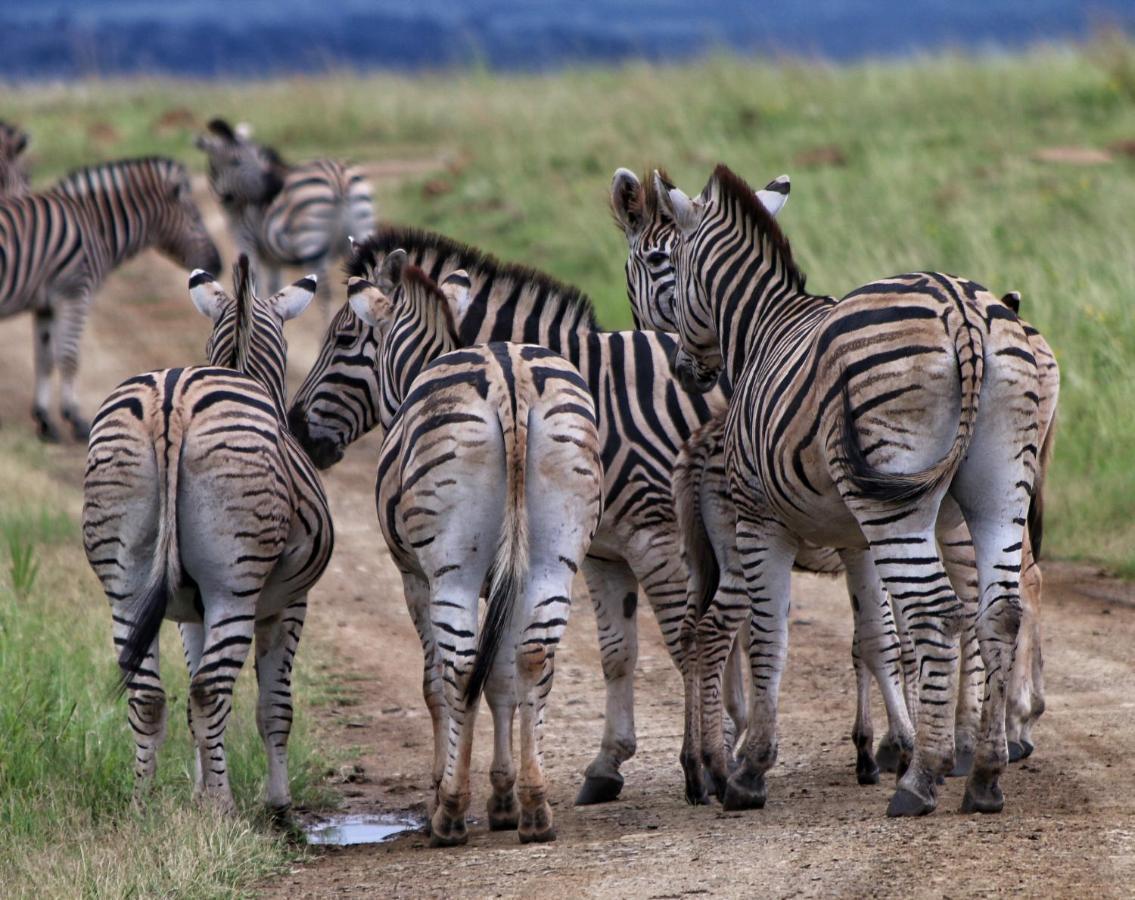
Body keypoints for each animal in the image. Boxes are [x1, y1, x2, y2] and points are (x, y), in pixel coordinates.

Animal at [0, 155, 219, 442]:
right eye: (196, 219)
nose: (218, 263)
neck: (95, 224)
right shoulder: (74, 294)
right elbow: (69, 358)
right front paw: (75, 420)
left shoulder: (45, 305)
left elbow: (44, 360)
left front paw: (45, 422)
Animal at [82, 256, 331, 812]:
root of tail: (172, 398)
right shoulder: (291, 604)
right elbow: (273, 706)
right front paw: (275, 803)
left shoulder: (186, 613)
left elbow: (196, 706)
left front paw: (196, 793)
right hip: (232, 583)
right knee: (209, 691)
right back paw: (223, 806)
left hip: (125, 581)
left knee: (149, 695)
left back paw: (142, 803)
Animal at [192, 117, 374, 310]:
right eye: (235, 161)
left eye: (253, 158)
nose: (275, 187)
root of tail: (337, 175)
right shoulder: (272, 258)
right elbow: (273, 286)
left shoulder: (245, 238)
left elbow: (252, 281)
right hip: (361, 231)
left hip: (311, 240)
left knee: (324, 294)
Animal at [306, 254, 603, 844]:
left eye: (344, 337)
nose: (300, 431)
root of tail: (510, 379)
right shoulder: (510, 579)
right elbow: (503, 680)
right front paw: (505, 797)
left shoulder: (414, 578)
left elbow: (437, 685)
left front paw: (443, 789)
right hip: (554, 559)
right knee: (535, 657)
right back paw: (536, 809)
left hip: (453, 570)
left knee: (461, 669)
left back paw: (449, 814)